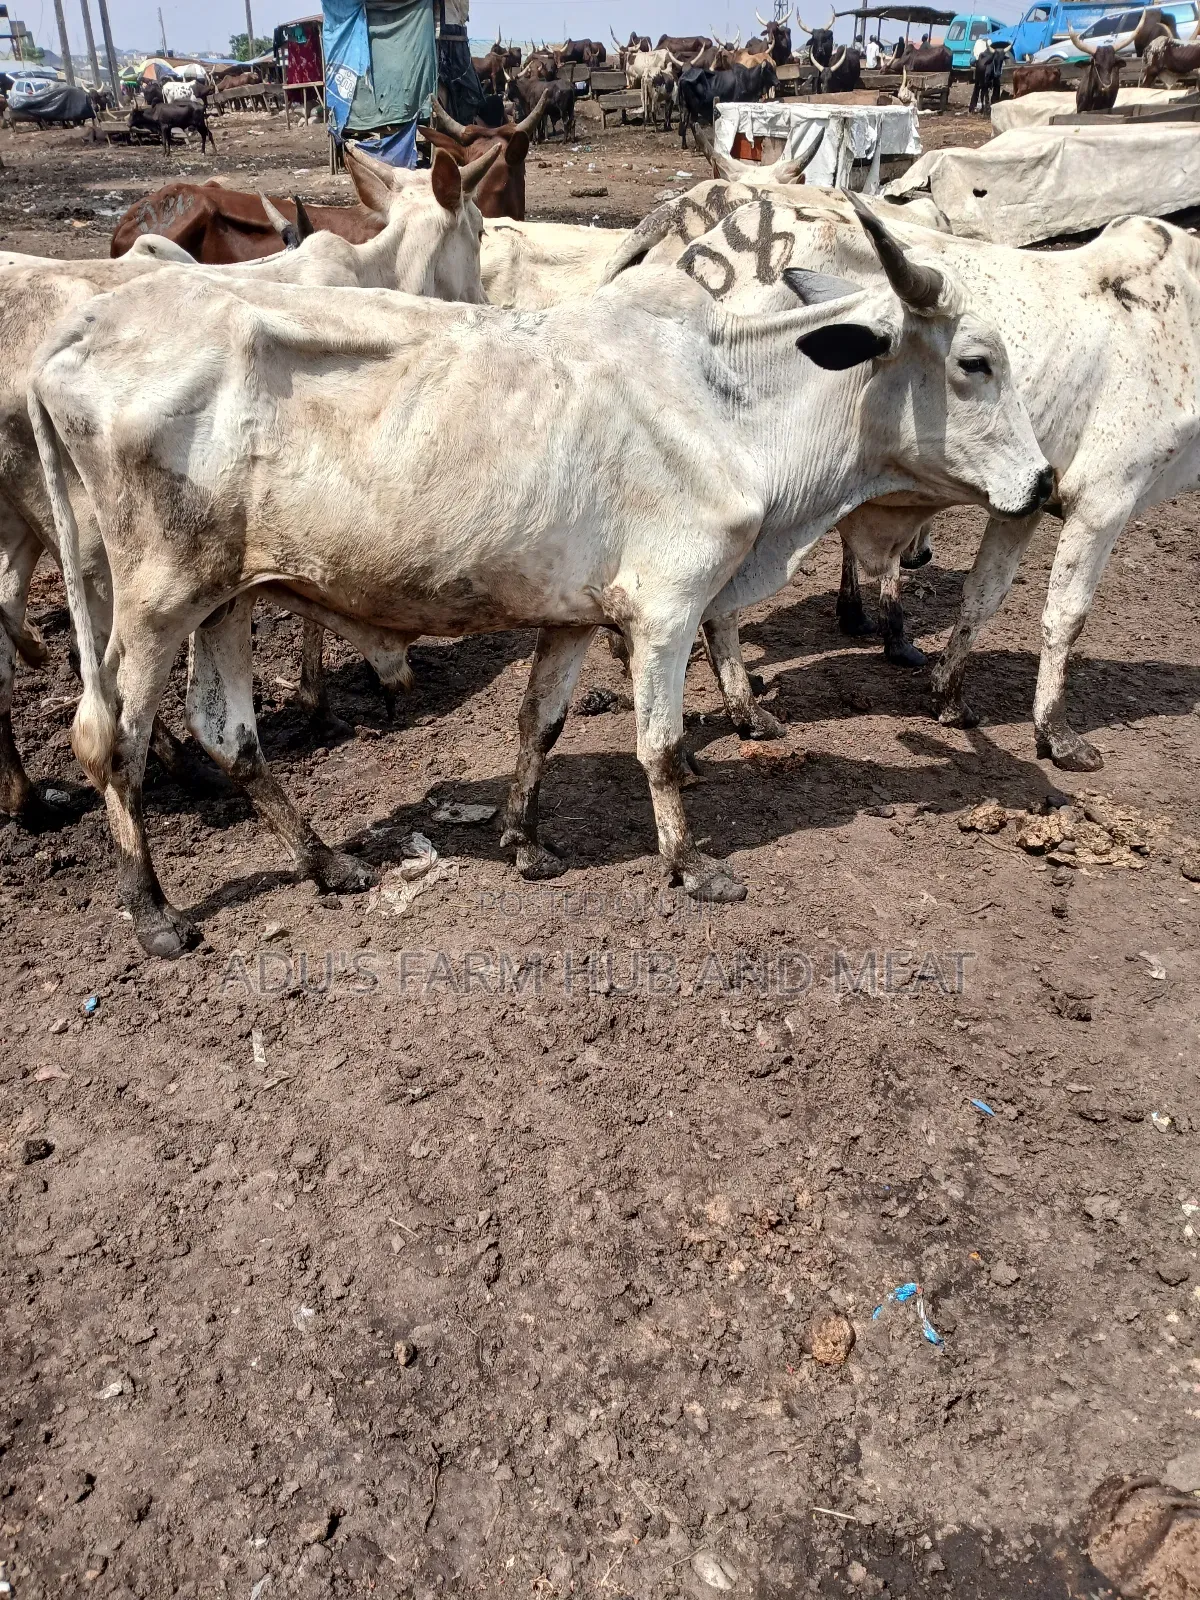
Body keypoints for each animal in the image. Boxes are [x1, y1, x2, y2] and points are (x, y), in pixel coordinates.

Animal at [0, 145, 499, 829]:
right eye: (478, 231)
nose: (481, 297)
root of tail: (51, 360)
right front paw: (328, 699)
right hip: (101, 544)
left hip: (29, 529)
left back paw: (29, 797)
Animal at [28, 197, 1048, 955]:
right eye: (974, 362)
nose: (1043, 483)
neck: (730, 400)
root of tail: (76, 336)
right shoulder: (669, 609)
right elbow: (661, 748)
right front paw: (692, 865)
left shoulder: (575, 614)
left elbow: (541, 723)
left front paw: (522, 840)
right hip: (153, 602)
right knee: (111, 740)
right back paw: (154, 911)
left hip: (227, 598)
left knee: (226, 732)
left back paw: (327, 864)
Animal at [659, 193, 1200, 771]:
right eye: (975, 363)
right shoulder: (1103, 499)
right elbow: (1066, 617)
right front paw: (1057, 733)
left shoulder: (1024, 502)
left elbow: (983, 596)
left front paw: (947, 695)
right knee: (718, 608)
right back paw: (745, 709)